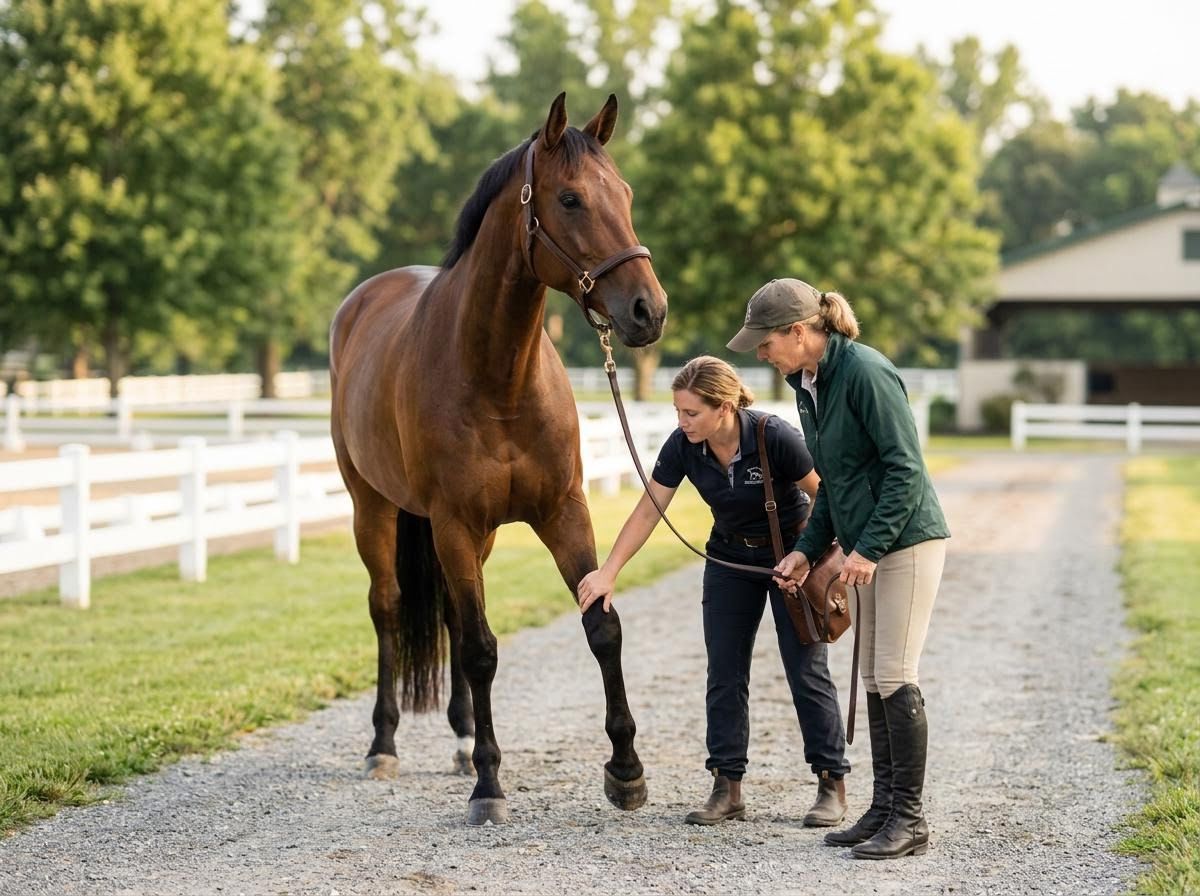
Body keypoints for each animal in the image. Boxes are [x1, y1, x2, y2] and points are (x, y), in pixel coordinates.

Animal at [329, 93, 668, 825]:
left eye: (626, 193)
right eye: (570, 199)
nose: (648, 311)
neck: (498, 377)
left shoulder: (563, 513)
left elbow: (601, 627)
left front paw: (626, 770)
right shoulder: (453, 522)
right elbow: (482, 649)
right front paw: (490, 783)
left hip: (473, 537)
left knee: (454, 616)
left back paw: (459, 738)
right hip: (375, 509)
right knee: (388, 609)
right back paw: (384, 744)